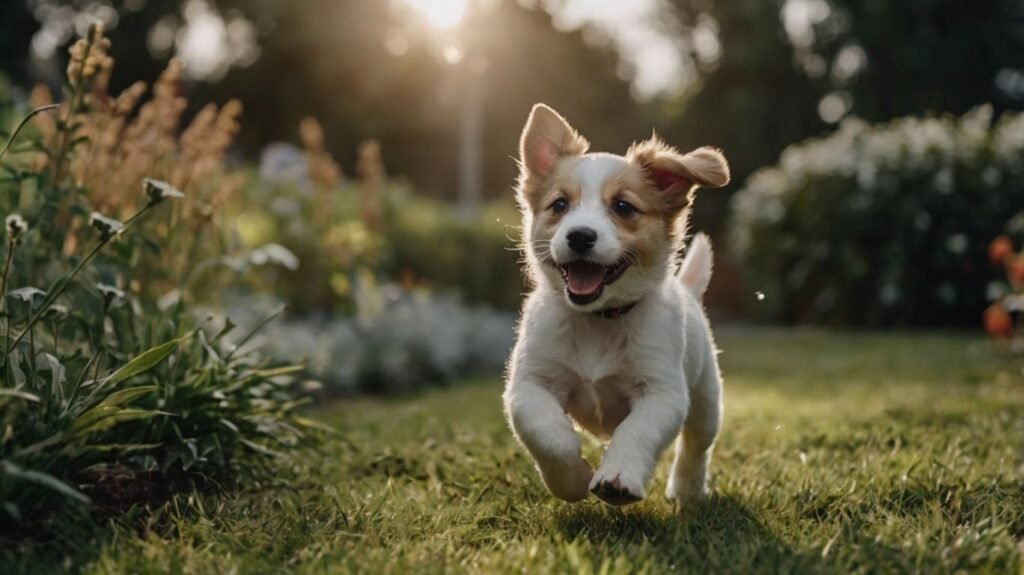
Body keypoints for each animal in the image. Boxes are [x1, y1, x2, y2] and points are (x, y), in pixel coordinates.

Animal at [501, 102, 729, 505]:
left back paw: (686, 491)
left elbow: (635, 431)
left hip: (706, 399)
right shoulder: (529, 384)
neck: (598, 319)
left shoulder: (662, 392)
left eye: (623, 207)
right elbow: (547, 433)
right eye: (560, 204)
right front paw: (572, 478)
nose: (579, 236)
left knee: (696, 448)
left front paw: (617, 477)